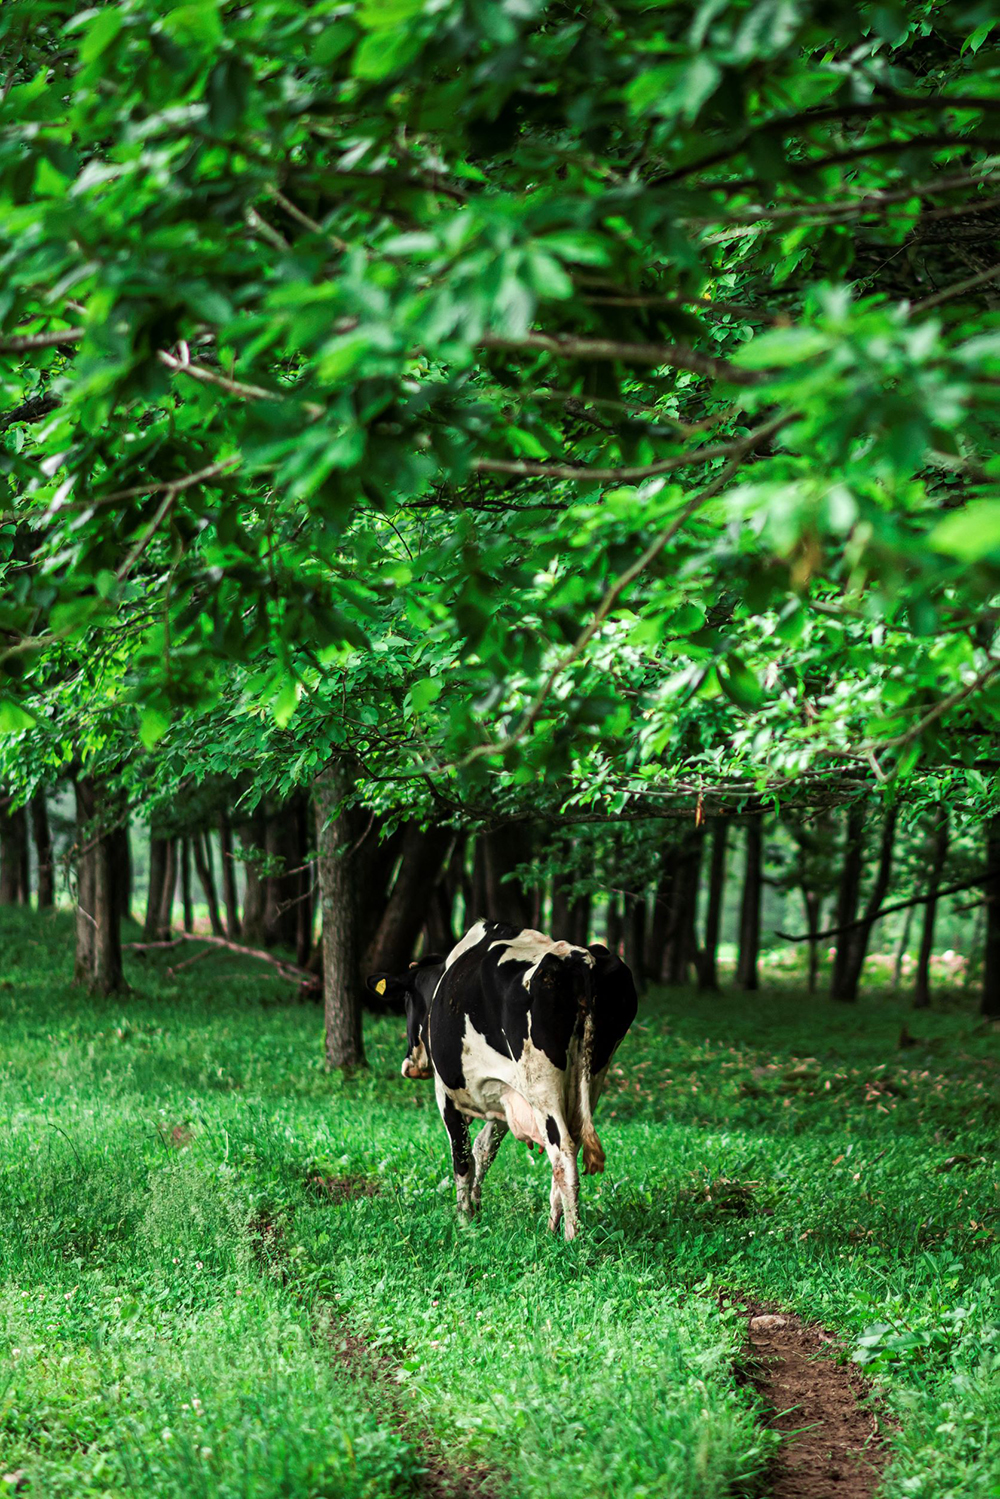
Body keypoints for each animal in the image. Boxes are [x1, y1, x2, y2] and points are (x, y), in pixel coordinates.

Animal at [365, 923, 632, 1241]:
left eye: (407, 1001)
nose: (410, 1065)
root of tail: (577, 957)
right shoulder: (506, 1097)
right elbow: (483, 1149)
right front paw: (476, 1211)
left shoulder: (447, 1095)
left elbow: (462, 1156)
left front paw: (464, 1220)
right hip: (590, 1079)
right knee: (574, 1143)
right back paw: (551, 1227)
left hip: (542, 1087)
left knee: (563, 1152)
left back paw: (570, 1236)